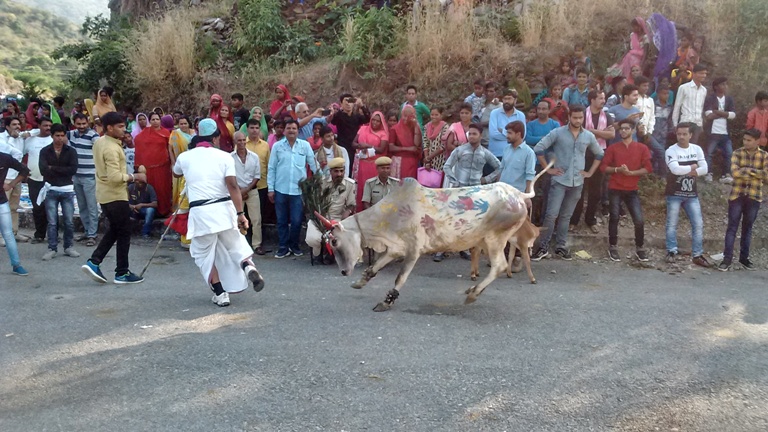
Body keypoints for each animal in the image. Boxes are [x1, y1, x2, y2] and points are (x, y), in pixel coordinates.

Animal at [314, 162, 552, 310]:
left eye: (334, 241)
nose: (344, 272)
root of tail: (518, 194)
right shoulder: (395, 248)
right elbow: (374, 268)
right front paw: (360, 282)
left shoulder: (413, 250)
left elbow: (400, 278)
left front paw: (386, 302)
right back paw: (473, 288)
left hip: (495, 239)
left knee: (500, 266)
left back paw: (473, 293)